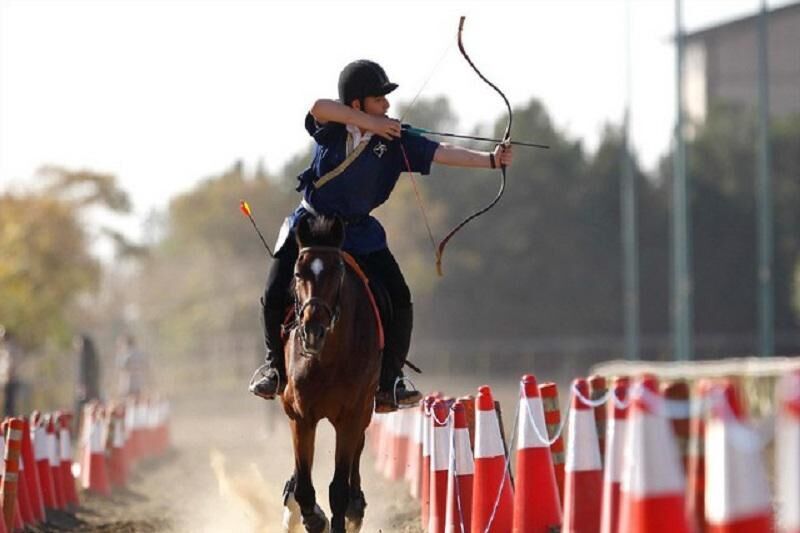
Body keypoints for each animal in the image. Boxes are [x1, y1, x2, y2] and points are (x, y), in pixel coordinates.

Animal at [280, 213, 382, 532]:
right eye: (297, 273)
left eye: (337, 273)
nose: (313, 331)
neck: (326, 360)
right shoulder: (300, 416)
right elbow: (304, 486)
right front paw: (312, 517)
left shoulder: (350, 416)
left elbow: (338, 487)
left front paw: (340, 515)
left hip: (364, 411)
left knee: (357, 455)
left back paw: (355, 507)